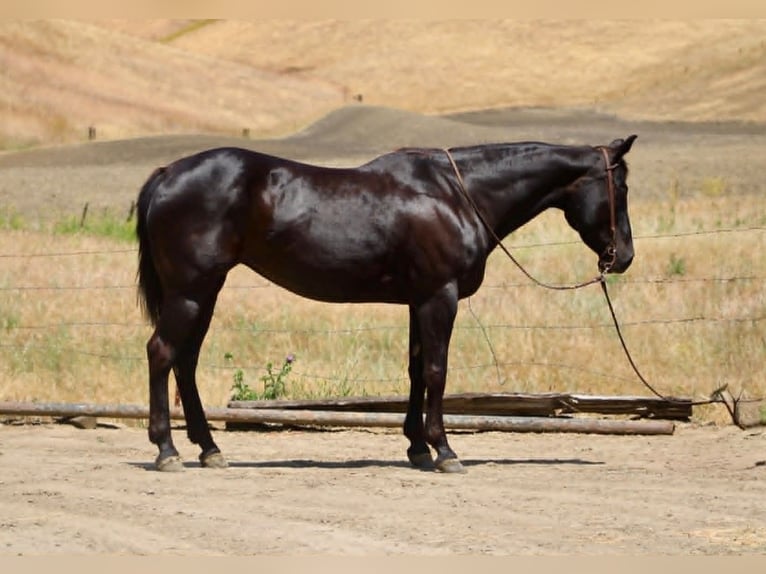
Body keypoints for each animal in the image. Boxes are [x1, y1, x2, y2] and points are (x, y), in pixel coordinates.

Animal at [136, 135, 637, 473]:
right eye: (623, 188)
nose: (624, 257)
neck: (455, 194)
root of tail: (167, 174)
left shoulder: (419, 300)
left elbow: (416, 371)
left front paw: (417, 448)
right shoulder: (439, 296)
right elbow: (436, 371)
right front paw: (445, 451)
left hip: (205, 292)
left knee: (185, 361)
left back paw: (209, 449)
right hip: (190, 291)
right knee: (162, 353)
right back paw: (167, 450)